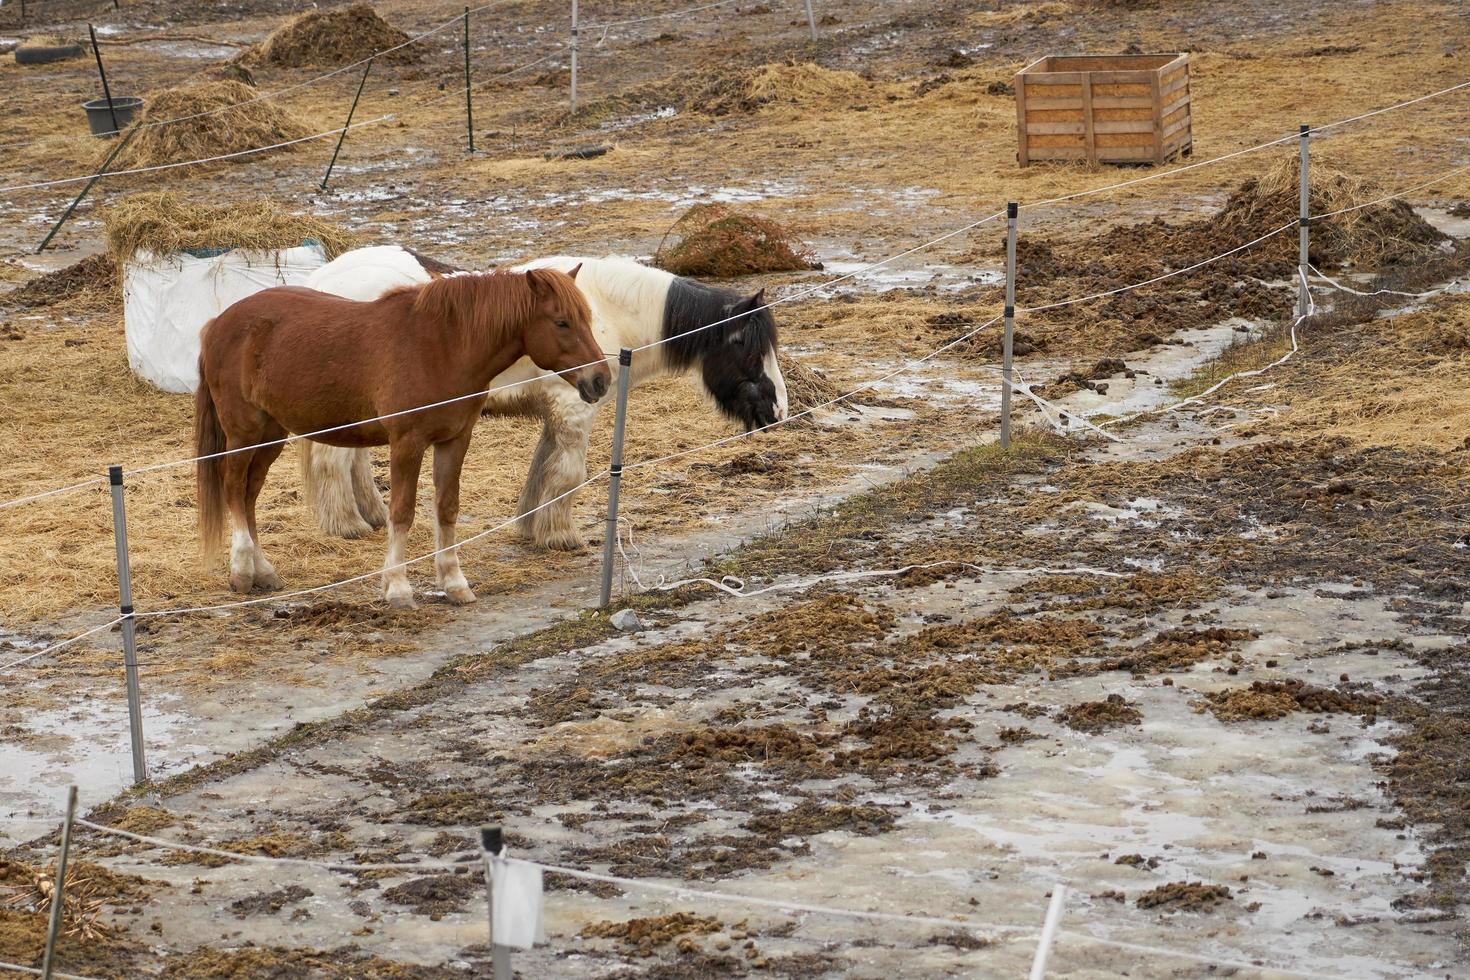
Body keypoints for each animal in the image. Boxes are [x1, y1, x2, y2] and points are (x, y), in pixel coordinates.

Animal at [195, 268, 608, 605]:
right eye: (561, 322)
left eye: (587, 319)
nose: (600, 380)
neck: (442, 347)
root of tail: (217, 323)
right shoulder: (407, 443)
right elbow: (402, 512)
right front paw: (397, 587)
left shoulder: (455, 441)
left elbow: (446, 507)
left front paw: (454, 583)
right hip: (244, 432)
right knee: (233, 488)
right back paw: (242, 572)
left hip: (271, 434)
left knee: (248, 495)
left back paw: (263, 571)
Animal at [292, 245, 787, 552]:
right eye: (746, 346)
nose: (778, 410)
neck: (604, 310)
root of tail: (323, 281)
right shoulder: (575, 410)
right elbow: (569, 474)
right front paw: (560, 536)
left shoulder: (558, 413)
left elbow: (543, 468)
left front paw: (533, 526)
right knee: (332, 461)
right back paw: (348, 525)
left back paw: (372, 515)